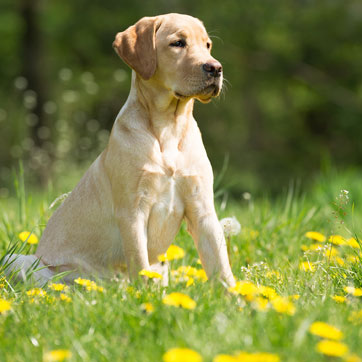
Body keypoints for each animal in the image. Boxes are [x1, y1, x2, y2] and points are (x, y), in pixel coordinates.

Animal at [4, 13, 235, 286]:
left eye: (207, 45)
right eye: (178, 43)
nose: (216, 68)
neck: (169, 127)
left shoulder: (202, 209)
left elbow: (221, 265)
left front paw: (236, 296)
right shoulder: (133, 211)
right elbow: (139, 261)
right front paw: (144, 293)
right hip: (19, 260)